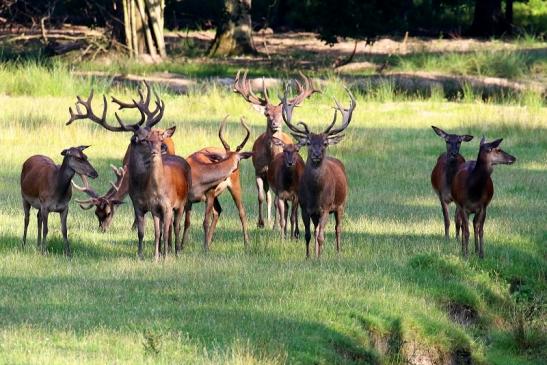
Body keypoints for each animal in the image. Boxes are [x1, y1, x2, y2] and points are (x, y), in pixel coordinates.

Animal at [66, 82, 192, 258]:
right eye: (143, 139)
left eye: (108, 212)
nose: (163, 147)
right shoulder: (136, 202)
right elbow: (142, 230)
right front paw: (140, 253)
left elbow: (159, 228)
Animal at [183, 116, 254, 250]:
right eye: (222, 158)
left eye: (238, 161)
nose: (227, 176)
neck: (197, 171)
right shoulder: (189, 199)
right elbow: (187, 222)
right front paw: (182, 246)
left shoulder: (209, 195)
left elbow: (205, 222)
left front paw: (205, 248)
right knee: (218, 211)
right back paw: (210, 242)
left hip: (234, 188)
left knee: (241, 211)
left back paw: (247, 243)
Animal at [232, 70, 318, 228]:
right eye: (267, 114)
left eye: (281, 115)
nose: (275, 124)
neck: (271, 157)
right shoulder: (258, 170)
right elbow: (261, 197)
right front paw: (260, 222)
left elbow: (277, 202)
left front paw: (276, 224)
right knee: (268, 196)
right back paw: (270, 220)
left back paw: (276, 222)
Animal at [282, 85, 356, 258]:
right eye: (309, 142)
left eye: (325, 143)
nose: (316, 154)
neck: (315, 194)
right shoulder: (305, 207)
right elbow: (308, 234)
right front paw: (309, 256)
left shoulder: (326, 208)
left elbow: (322, 236)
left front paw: (319, 257)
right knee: (316, 231)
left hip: (341, 204)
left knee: (337, 228)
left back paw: (338, 251)